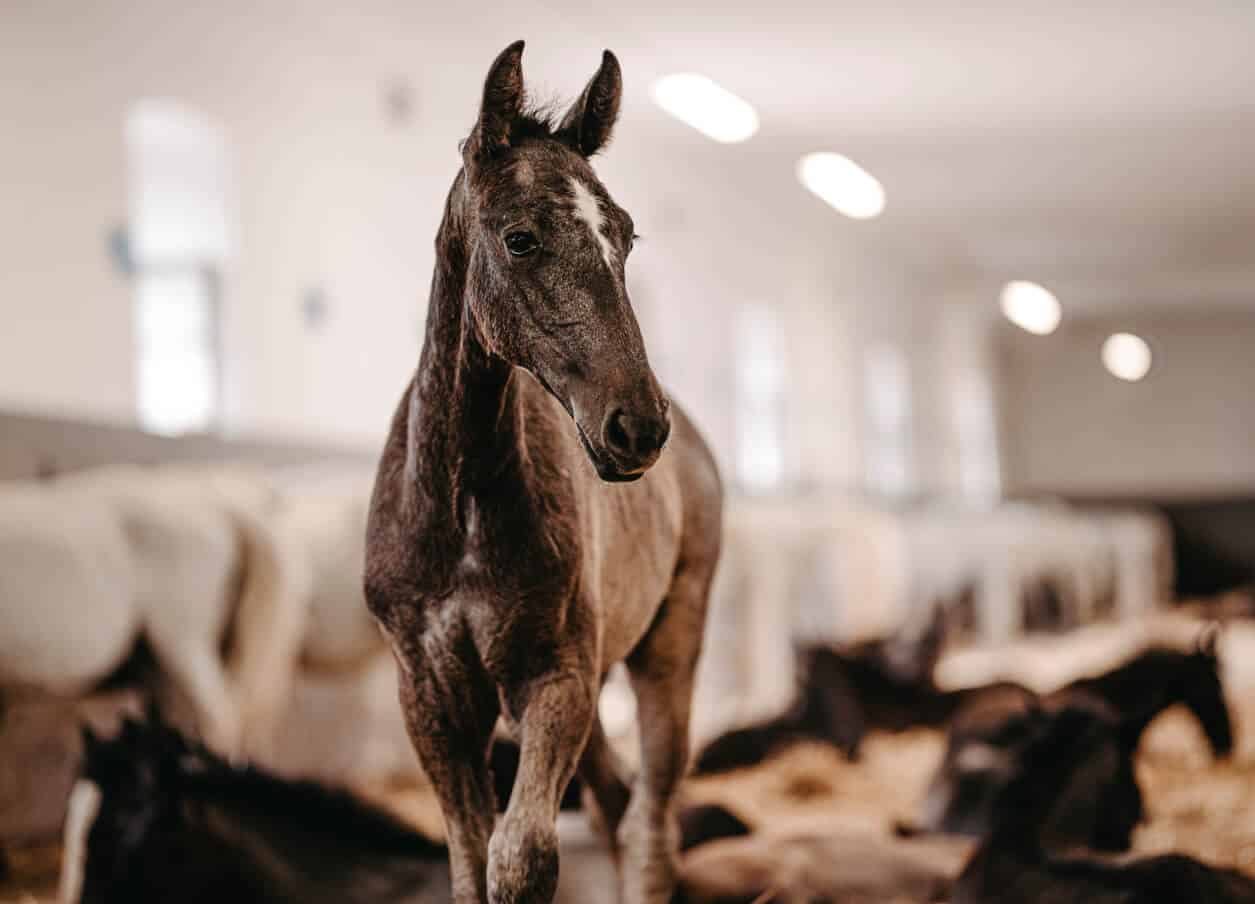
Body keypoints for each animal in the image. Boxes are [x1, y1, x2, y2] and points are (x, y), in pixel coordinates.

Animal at [363, 41, 722, 904]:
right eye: (520, 238)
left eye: (625, 236)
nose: (638, 425)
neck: (457, 506)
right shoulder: (428, 696)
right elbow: (470, 860)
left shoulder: (556, 679)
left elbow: (520, 858)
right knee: (618, 804)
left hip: (667, 645)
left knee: (649, 819)